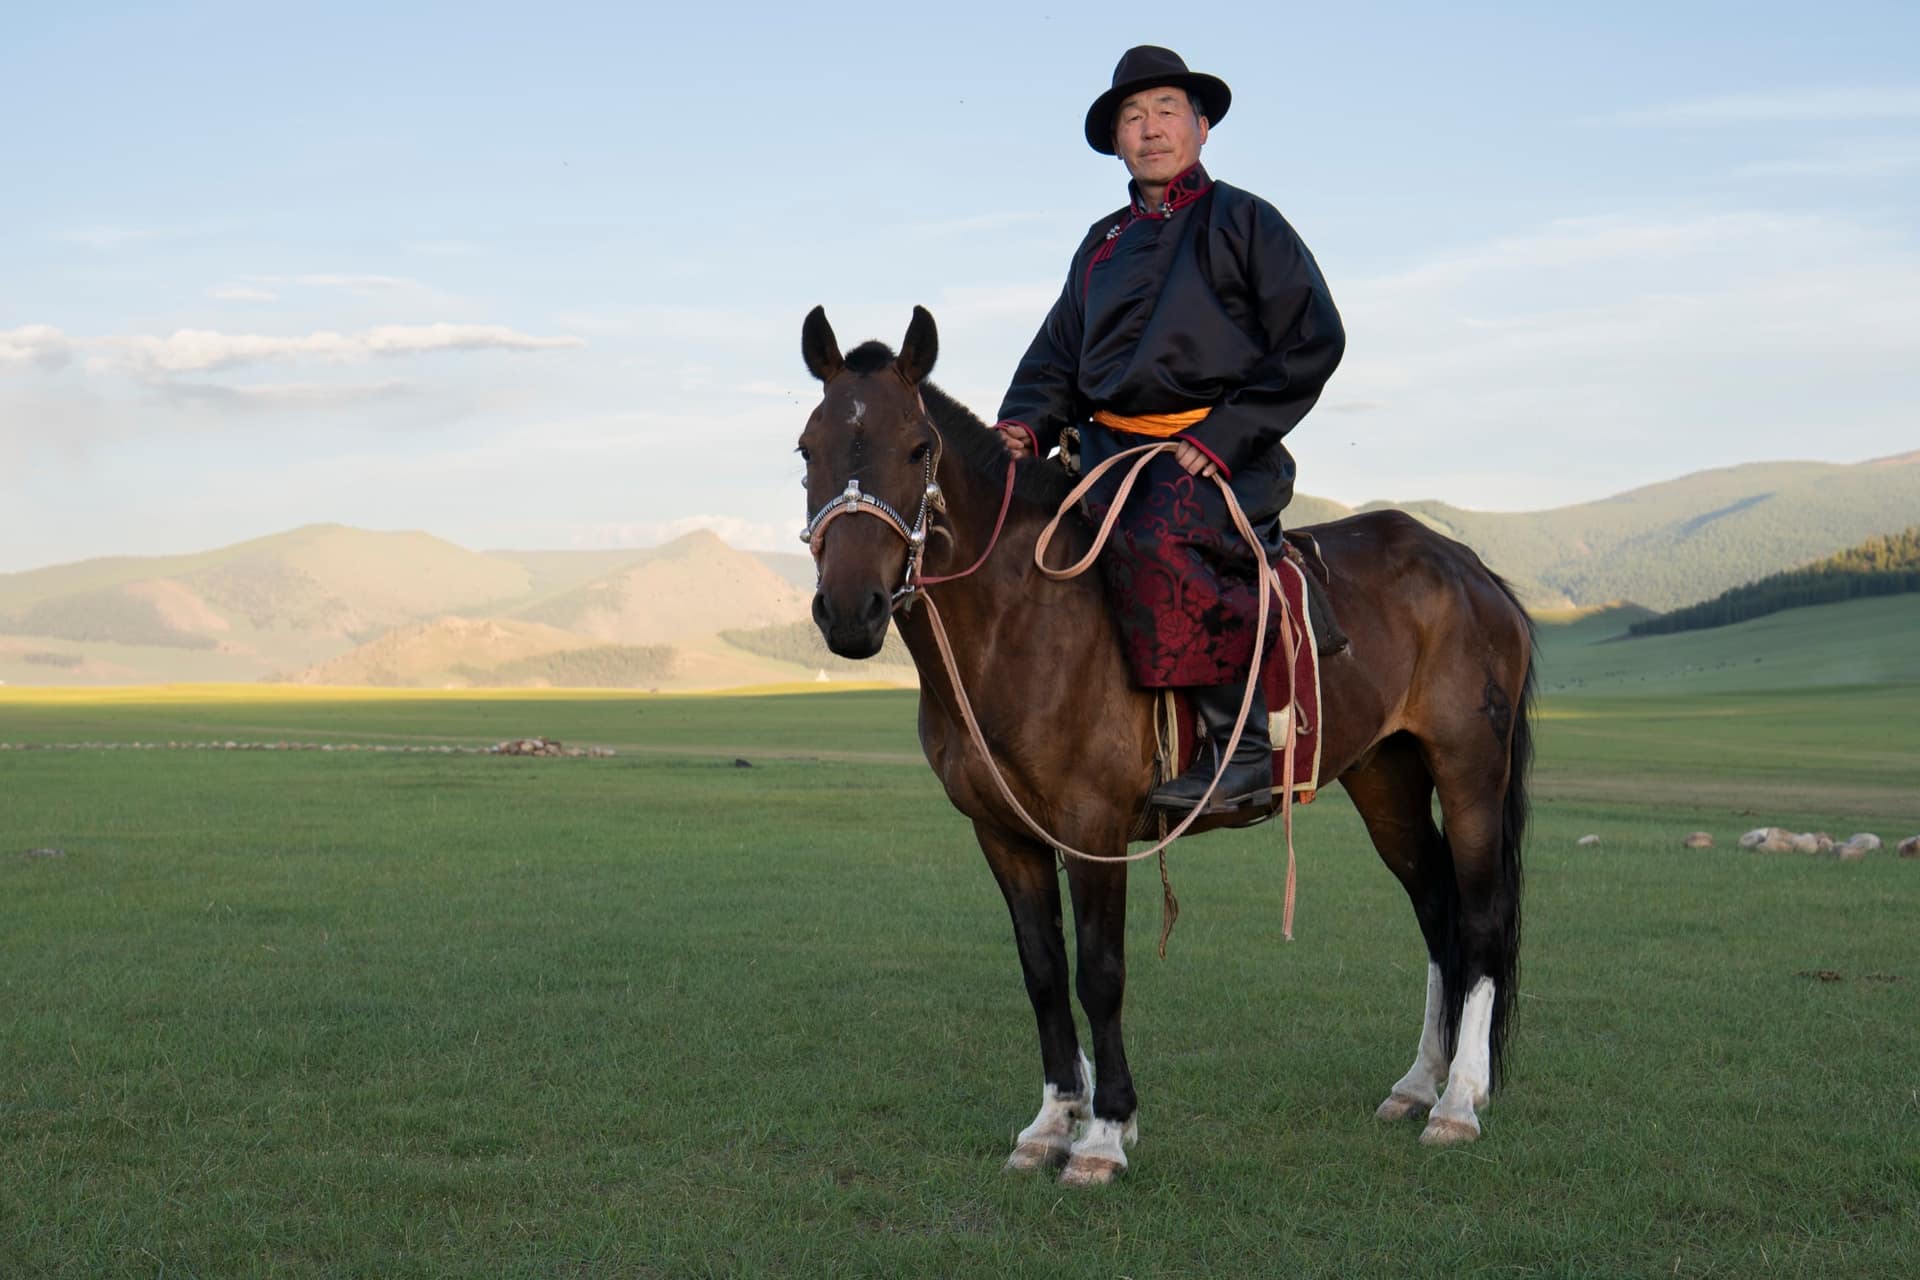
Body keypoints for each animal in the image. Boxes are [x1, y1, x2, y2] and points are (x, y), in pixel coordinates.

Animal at [797, 305, 1535, 1186]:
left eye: (917, 449)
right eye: (807, 449)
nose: (850, 610)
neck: (1016, 621)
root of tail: (1469, 569)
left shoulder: (1092, 826)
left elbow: (1100, 972)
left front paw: (1105, 1133)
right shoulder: (1002, 832)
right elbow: (1043, 971)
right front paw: (1053, 1121)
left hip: (1468, 770)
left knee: (1481, 918)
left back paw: (1458, 1101)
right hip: (1384, 778)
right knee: (1436, 910)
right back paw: (1420, 1083)